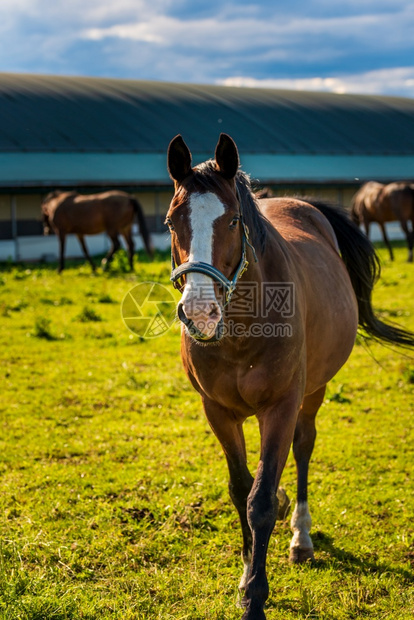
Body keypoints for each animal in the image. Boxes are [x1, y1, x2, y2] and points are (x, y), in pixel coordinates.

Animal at [166, 133, 414, 616]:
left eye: (233, 221)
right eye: (170, 222)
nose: (200, 312)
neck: (242, 328)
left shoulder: (280, 406)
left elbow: (260, 500)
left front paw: (255, 596)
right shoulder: (217, 411)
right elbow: (240, 489)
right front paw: (246, 574)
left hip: (314, 391)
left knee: (302, 448)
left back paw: (300, 534)